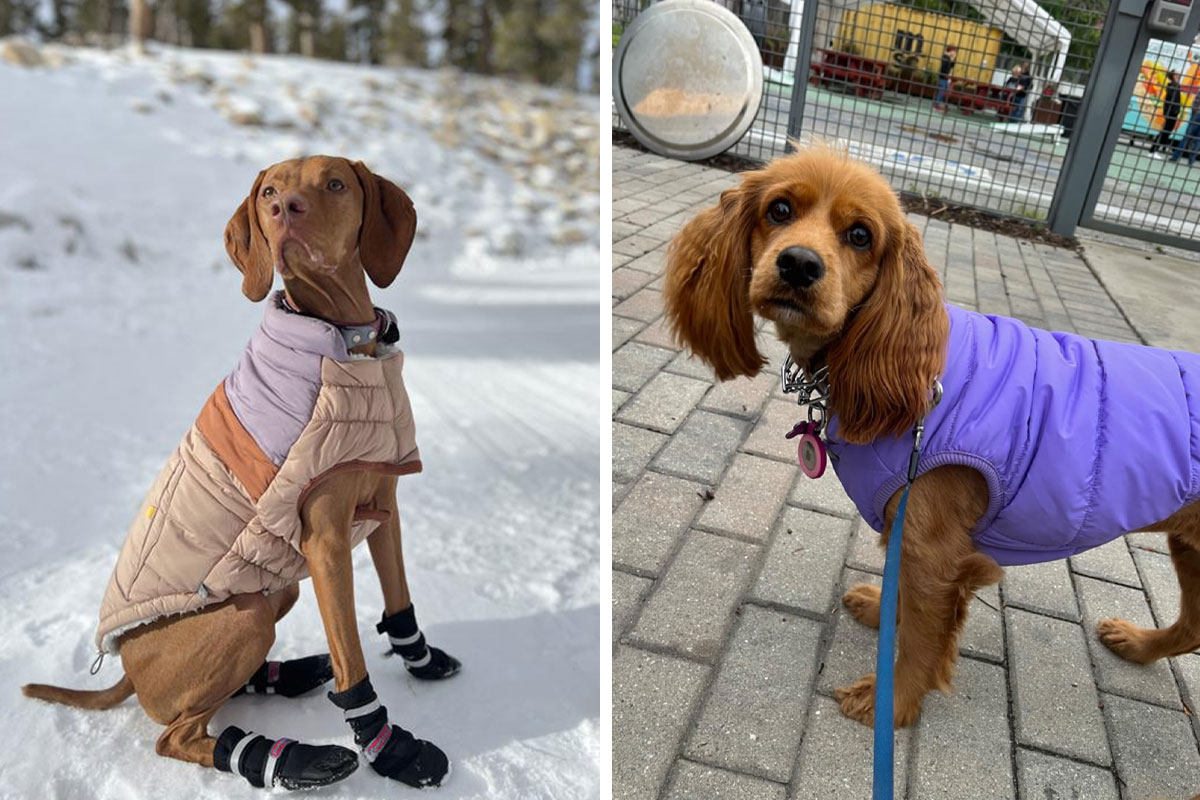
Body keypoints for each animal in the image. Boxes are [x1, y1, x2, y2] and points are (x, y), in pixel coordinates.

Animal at [24, 154, 463, 786]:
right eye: (270, 192)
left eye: (335, 183)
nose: (284, 211)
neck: (346, 344)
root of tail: (127, 669)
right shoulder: (326, 542)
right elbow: (353, 660)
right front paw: (391, 749)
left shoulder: (384, 506)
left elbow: (398, 597)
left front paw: (421, 661)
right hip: (248, 615)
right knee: (178, 735)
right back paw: (289, 757)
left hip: (275, 590)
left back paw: (293, 674)